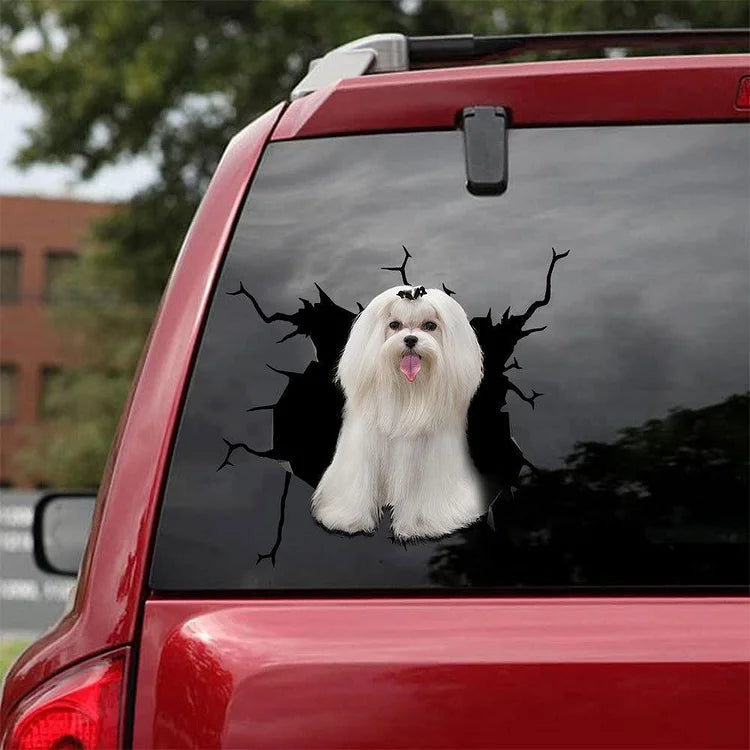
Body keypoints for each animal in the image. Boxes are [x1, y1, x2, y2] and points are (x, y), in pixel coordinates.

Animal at [312, 286, 488, 540]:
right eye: (394, 325)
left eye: (430, 325)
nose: (411, 339)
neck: (408, 391)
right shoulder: (364, 447)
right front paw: (350, 520)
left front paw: (422, 525)